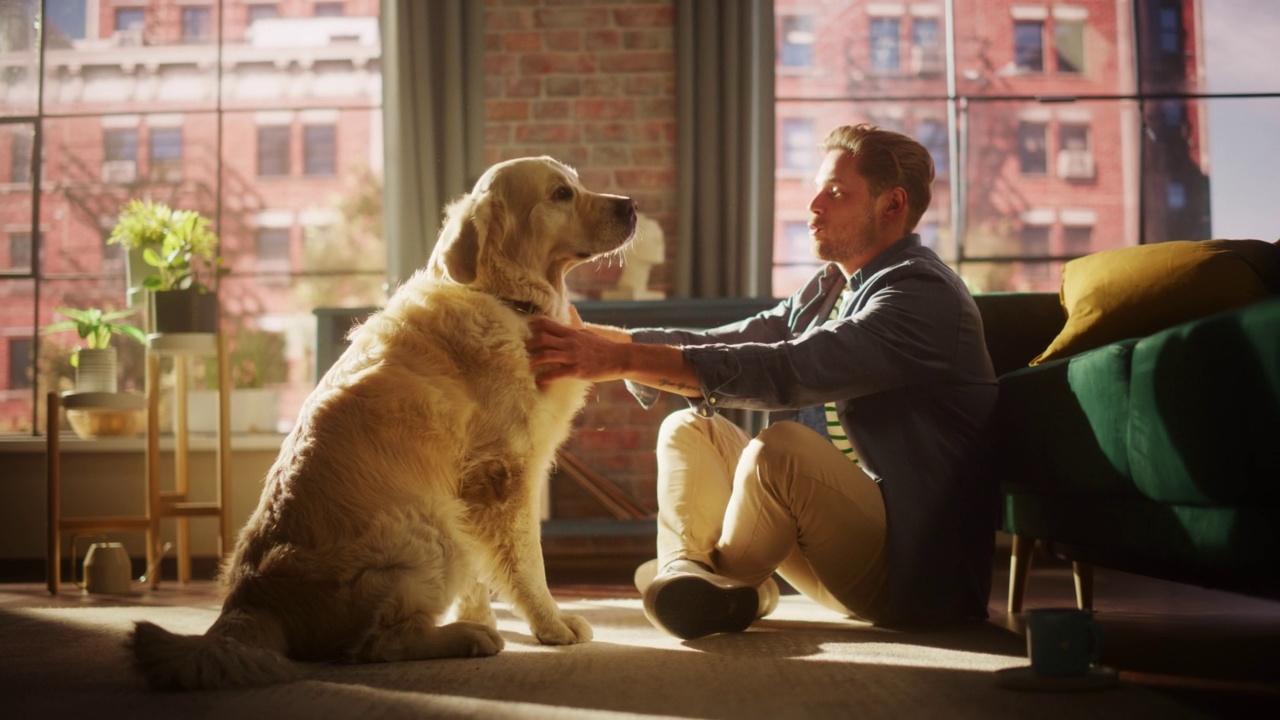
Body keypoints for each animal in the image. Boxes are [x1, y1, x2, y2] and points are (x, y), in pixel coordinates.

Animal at [129, 158, 640, 691]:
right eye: (561, 194)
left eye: (576, 181)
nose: (631, 206)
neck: (501, 298)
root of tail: (248, 603)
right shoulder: (504, 475)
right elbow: (528, 565)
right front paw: (551, 626)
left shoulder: (472, 490)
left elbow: (481, 577)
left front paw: (485, 616)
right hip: (431, 526)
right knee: (374, 645)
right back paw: (463, 638)